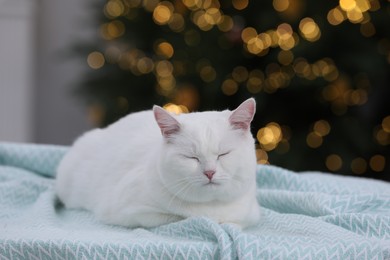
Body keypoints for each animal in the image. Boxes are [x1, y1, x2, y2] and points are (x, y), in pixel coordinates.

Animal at [54, 98, 260, 229]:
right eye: (191, 157)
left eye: (223, 154)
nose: (209, 172)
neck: (212, 207)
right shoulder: (129, 211)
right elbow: (177, 218)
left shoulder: (250, 215)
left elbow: (235, 224)